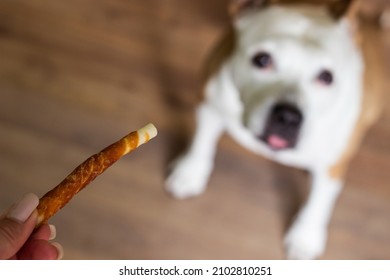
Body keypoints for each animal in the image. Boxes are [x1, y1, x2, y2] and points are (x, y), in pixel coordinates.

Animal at [165, 0, 386, 260]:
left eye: (326, 77)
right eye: (262, 60)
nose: (289, 117)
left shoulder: (333, 165)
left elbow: (320, 201)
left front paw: (305, 236)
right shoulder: (210, 104)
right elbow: (202, 140)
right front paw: (190, 172)